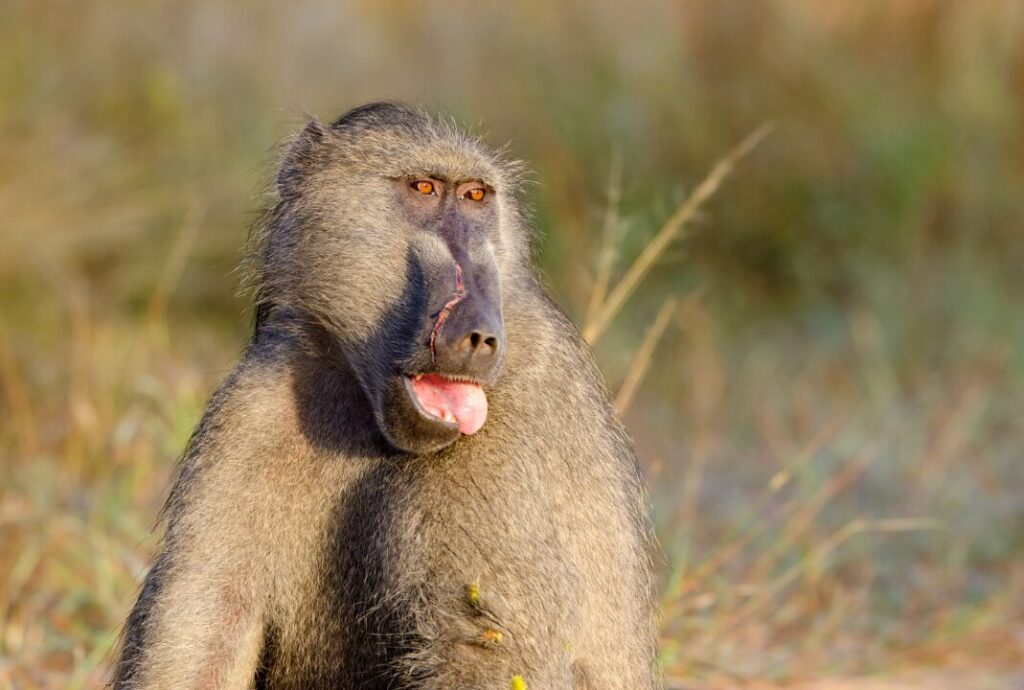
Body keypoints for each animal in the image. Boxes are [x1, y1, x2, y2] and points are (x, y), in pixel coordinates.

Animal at [111, 102, 660, 689]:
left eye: (476, 196)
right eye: (423, 188)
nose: (479, 335)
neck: (369, 415)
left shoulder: (514, 426)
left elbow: (485, 650)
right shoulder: (252, 406)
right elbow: (205, 634)